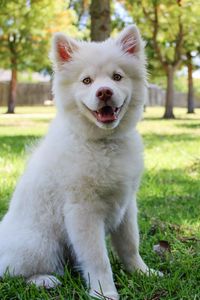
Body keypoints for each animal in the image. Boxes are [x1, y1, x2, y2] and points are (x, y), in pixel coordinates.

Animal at [0, 25, 156, 298]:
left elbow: (130, 245)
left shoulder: (127, 205)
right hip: (41, 244)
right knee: (12, 273)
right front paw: (104, 292)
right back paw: (44, 280)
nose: (104, 92)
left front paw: (142, 273)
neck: (103, 143)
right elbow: (98, 259)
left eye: (117, 77)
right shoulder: (83, 211)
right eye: (87, 81)